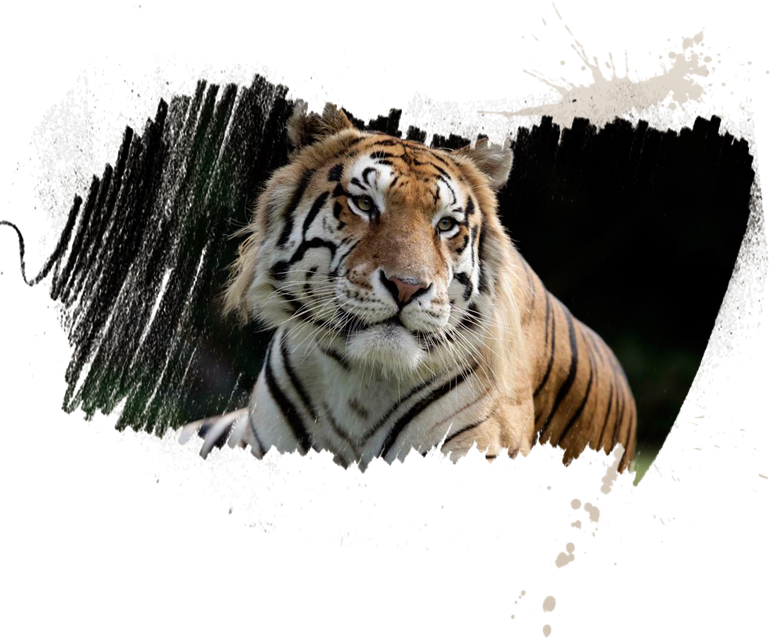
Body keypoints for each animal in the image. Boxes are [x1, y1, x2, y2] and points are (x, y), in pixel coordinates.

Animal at [0, 93, 636, 548]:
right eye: (364, 204)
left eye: (447, 225)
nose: (409, 286)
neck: (366, 377)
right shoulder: (262, 462)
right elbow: (208, 498)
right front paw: (159, 523)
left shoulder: (489, 472)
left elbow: (421, 502)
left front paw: (339, 530)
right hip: (210, 433)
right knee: (142, 476)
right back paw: (38, 492)